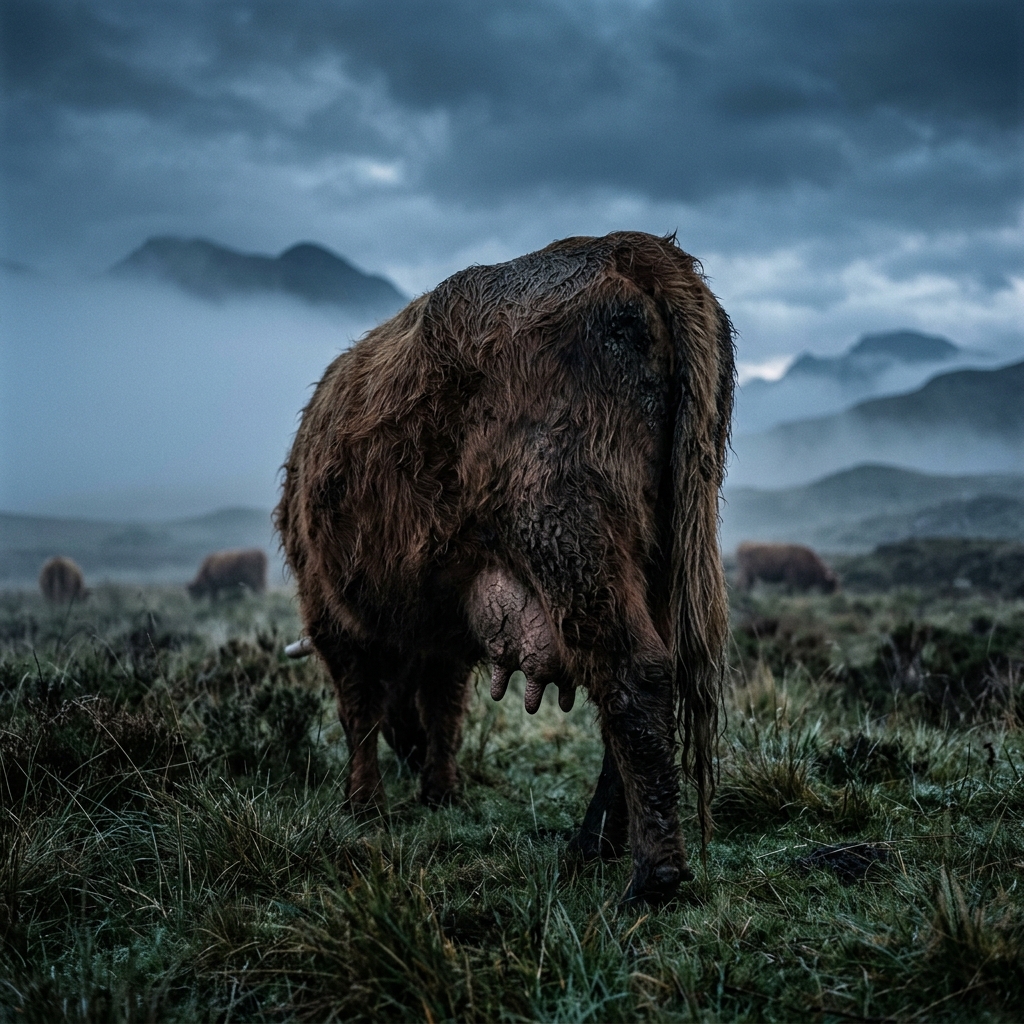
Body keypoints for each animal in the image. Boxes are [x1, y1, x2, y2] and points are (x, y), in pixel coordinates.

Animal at [276, 231, 735, 904]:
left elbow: (359, 708)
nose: (409, 757)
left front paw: (363, 805)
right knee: (637, 691)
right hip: (659, 559)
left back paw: (653, 876)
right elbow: (443, 707)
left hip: (569, 540)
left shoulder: (334, 615)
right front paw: (440, 790)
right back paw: (593, 843)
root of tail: (625, 248)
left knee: (636, 675)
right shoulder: (443, 637)